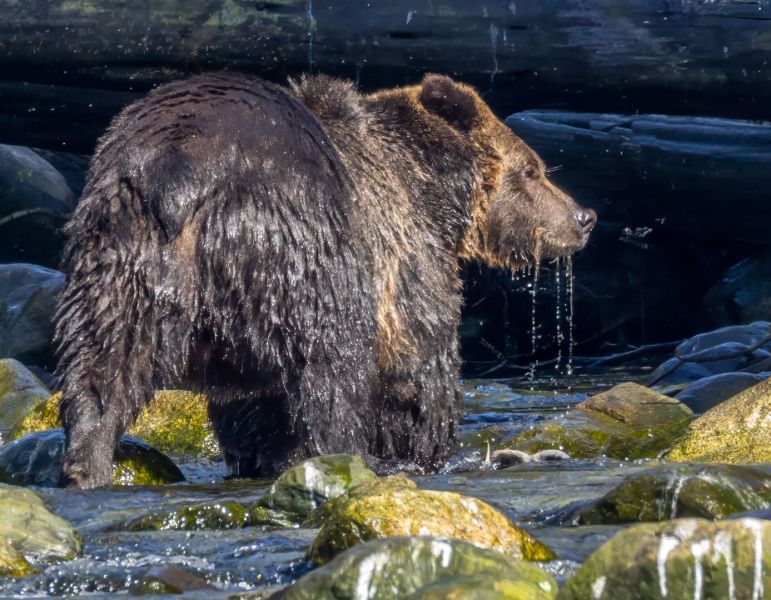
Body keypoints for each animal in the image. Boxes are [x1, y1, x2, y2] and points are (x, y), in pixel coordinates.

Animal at [55, 72, 596, 490]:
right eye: (532, 170)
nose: (583, 217)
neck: (436, 191)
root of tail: (181, 172)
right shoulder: (403, 250)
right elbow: (419, 365)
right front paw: (424, 450)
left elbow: (251, 406)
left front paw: (259, 455)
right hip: (301, 249)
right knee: (331, 365)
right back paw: (349, 454)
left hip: (119, 248)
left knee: (102, 360)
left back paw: (88, 464)